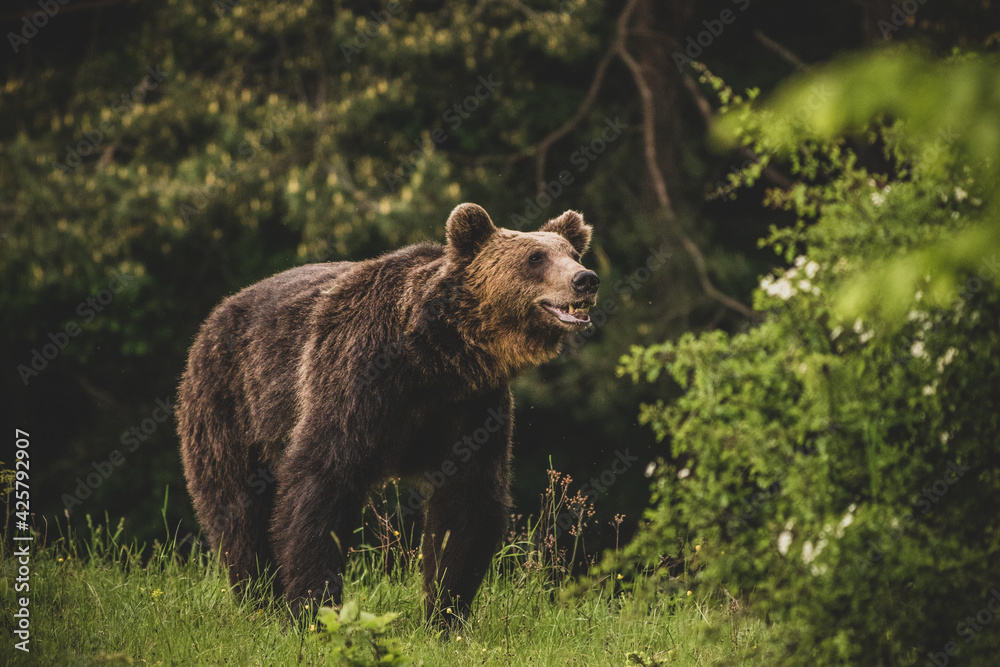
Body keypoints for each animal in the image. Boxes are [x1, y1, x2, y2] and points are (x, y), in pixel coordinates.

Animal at [176, 201, 596, 620]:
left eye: (572, 254)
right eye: (535, 257)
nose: (586, 279)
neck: (436, 357)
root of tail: (216, 313)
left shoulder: (472, 406)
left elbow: (466, 504)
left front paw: (445, 610)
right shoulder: (359, 376)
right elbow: (321, 482)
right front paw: (313, 606)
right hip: (230, 405)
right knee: (237, 509)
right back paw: (258, 597)